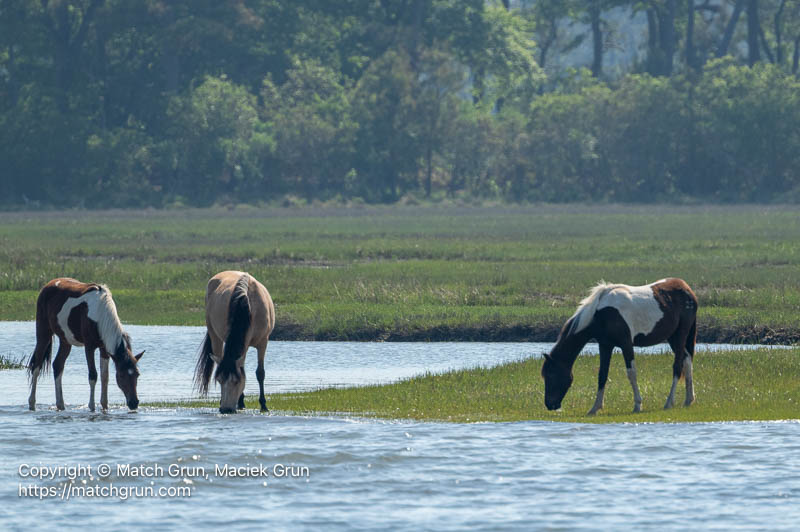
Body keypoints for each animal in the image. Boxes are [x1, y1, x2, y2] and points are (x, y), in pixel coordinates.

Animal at [27, 278, 144, 412]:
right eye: (121, 375)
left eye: (137, 374)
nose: (134, 403)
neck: (99, 314)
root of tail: (48, 285)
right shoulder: (89, 347)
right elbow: (93, 375)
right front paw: (92, 407)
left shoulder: (104, 349)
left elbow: (105, 377)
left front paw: (104, 406)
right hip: (43, 333)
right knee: (36, 367)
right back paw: (32, 403)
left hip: (65, 340)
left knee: (58, 365)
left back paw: (60, 405)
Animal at [194, 271, 275, 414]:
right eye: (219, 380)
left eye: (236, 381)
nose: (226, 409)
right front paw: (241, 402)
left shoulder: (263, 342)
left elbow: (260, 373)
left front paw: (263, 405)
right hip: (214, 335)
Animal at [541, 278, 698, 415]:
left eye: (551, 374)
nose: (549, 405)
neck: (601, 313)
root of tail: (687, 289)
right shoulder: (605, 345)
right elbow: (602, 375)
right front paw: (595, 408)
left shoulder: (626, 344)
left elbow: (631, 373)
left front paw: (637, 405)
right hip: (672, 337)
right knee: (687, 360)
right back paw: (688, 400)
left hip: (680, 334)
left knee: (678, 365)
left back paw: (669, 402)